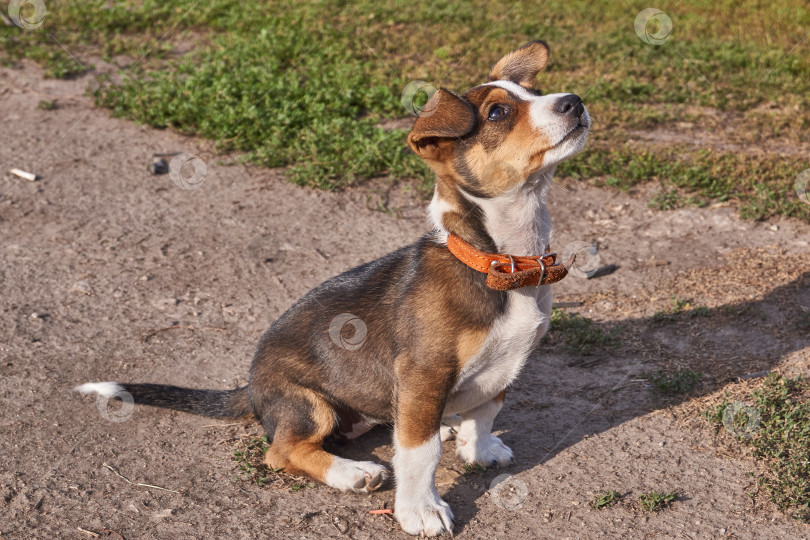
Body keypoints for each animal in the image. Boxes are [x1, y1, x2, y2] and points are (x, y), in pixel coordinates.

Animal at [76, 41, 588, 536]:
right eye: (498, 113)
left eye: (533, 92)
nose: (575, 101)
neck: (504, 261)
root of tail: (251, 385)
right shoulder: (425, 374)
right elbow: (420, 454)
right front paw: (420, 510)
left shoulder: (505, 366)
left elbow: (486, 413)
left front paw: (477, 449)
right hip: (310, 404)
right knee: (283, 450)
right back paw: (353, 472)